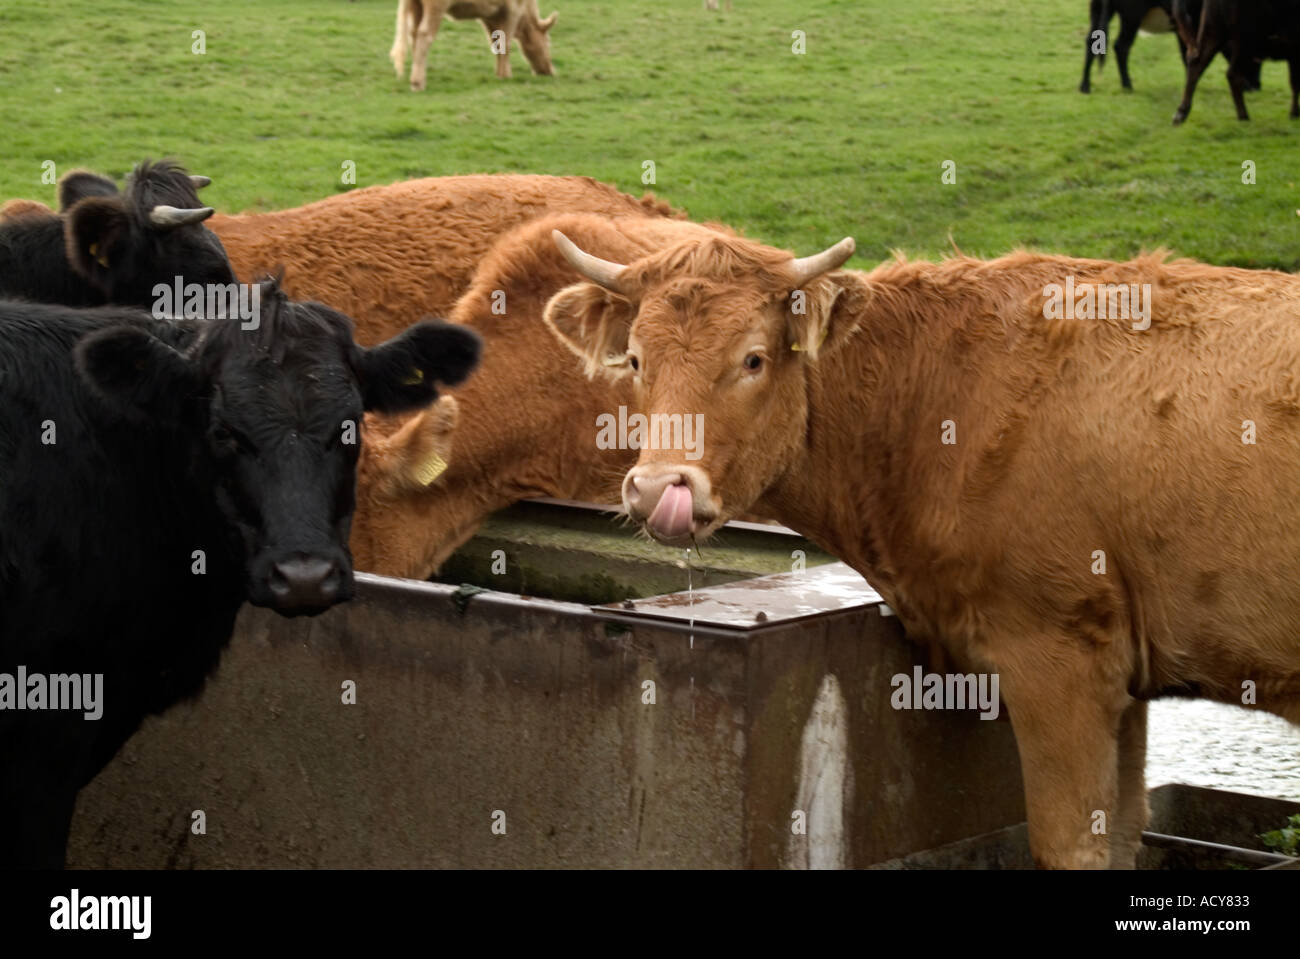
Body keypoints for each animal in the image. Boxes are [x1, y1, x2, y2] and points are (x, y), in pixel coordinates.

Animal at [390, 0, 557, 87]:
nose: (550, 71)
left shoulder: (491, 15)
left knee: (414, 34)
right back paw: (417, 82)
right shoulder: (513, 9)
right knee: (424, 35)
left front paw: (499, 73)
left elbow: (496, 43)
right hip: (436, 6)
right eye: (548, 42)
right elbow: (506, 43)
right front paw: (506, 75)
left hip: (416, 7)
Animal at [540, 229, 1300, 869]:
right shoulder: (1125, 675)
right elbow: (1121, 834)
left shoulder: (1058, 657)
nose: (657, 488)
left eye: (752, 359)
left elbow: (1071, 846)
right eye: (636, 359)